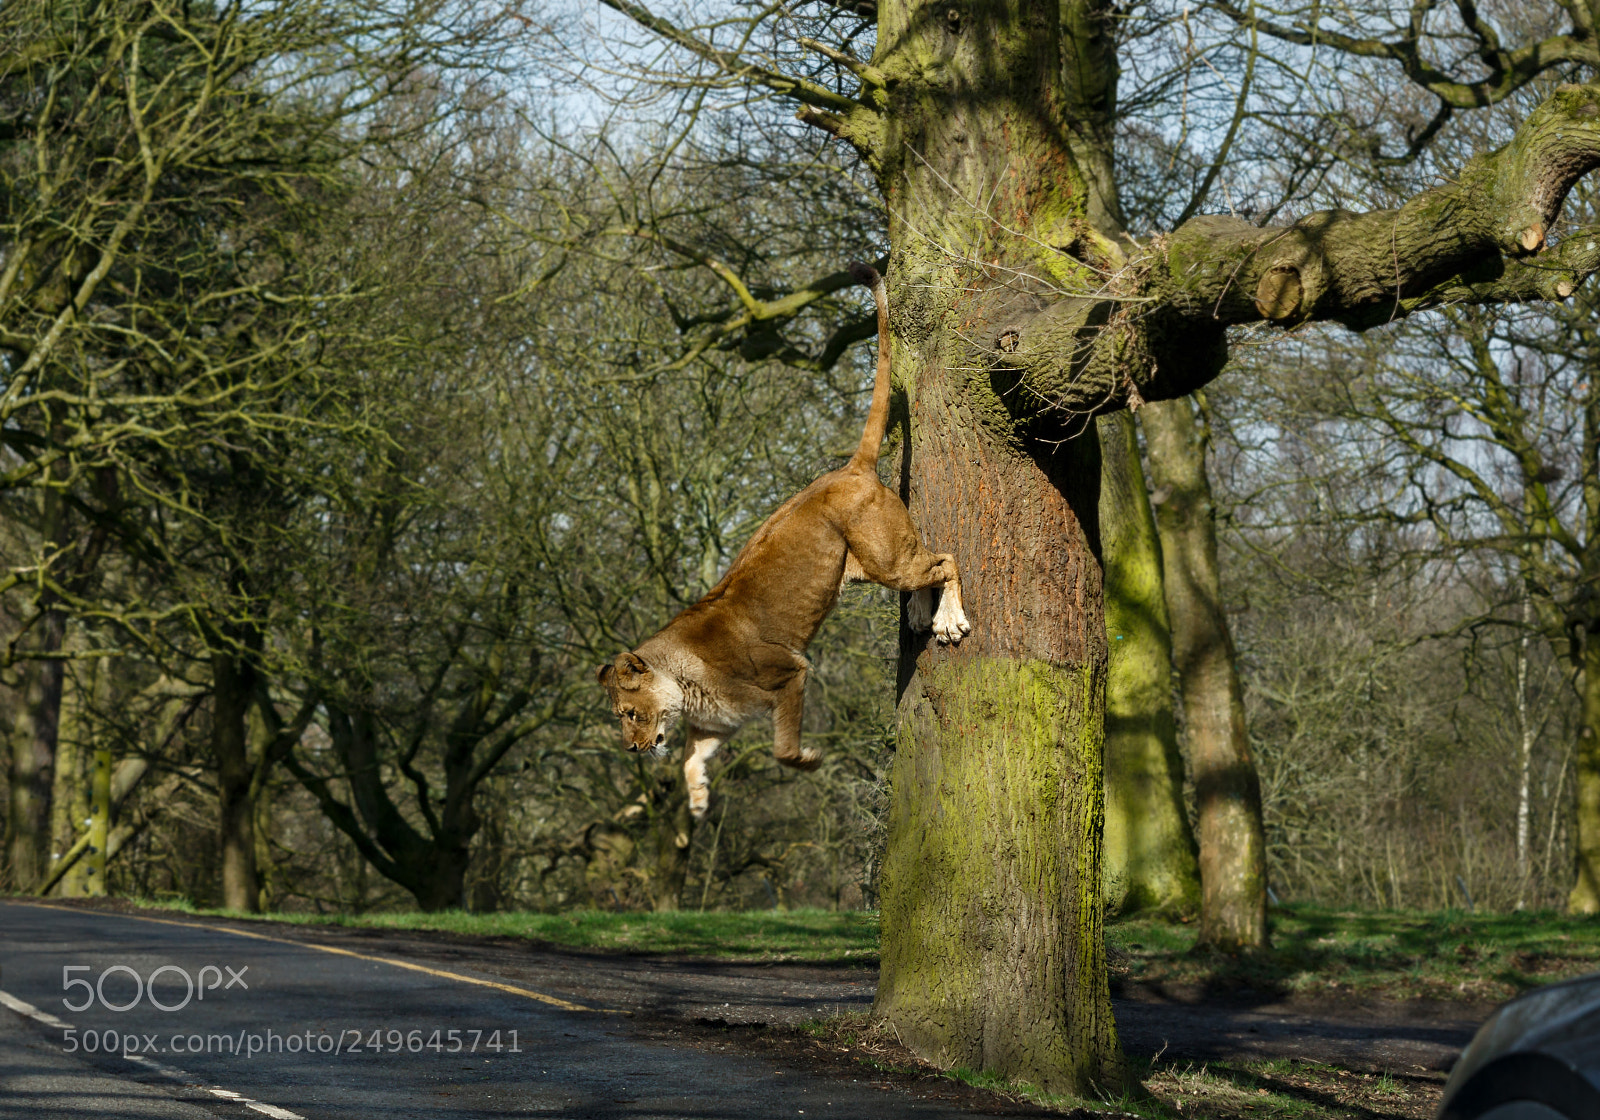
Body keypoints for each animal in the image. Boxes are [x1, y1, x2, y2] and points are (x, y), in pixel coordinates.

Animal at [596, 261, 969, 818]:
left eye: (629, 713)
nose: (632, 749)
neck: (684, 683)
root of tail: (851, 469)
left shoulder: (791, 671)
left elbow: (781, 749)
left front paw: (809, 760)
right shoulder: (718, 722)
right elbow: (689, 758)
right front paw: (699, 799)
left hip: (886, 558)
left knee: (945, 559)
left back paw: (947, 620)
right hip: (876, 563)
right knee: (925, 567)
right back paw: (923, 615)